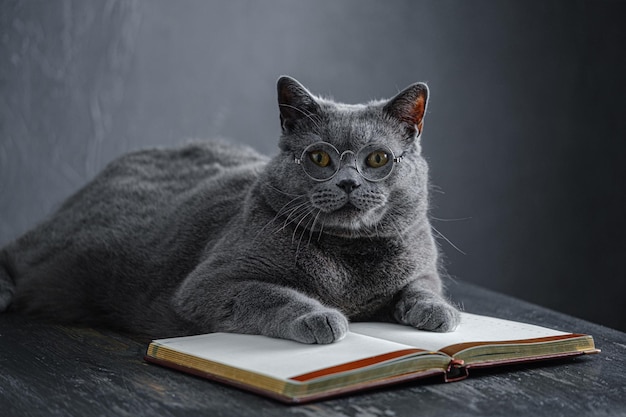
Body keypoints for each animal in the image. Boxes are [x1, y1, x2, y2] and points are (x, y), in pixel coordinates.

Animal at [0, 76, 458, 342]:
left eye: (378, 159)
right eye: (320, 158)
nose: (348, 183)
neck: (349, 260)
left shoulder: (421, 264)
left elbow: (421, 287)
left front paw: (440, 312)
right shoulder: (208, 284)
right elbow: (269, 293)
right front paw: (323, 318)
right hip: (60, 245)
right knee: (15, 251)